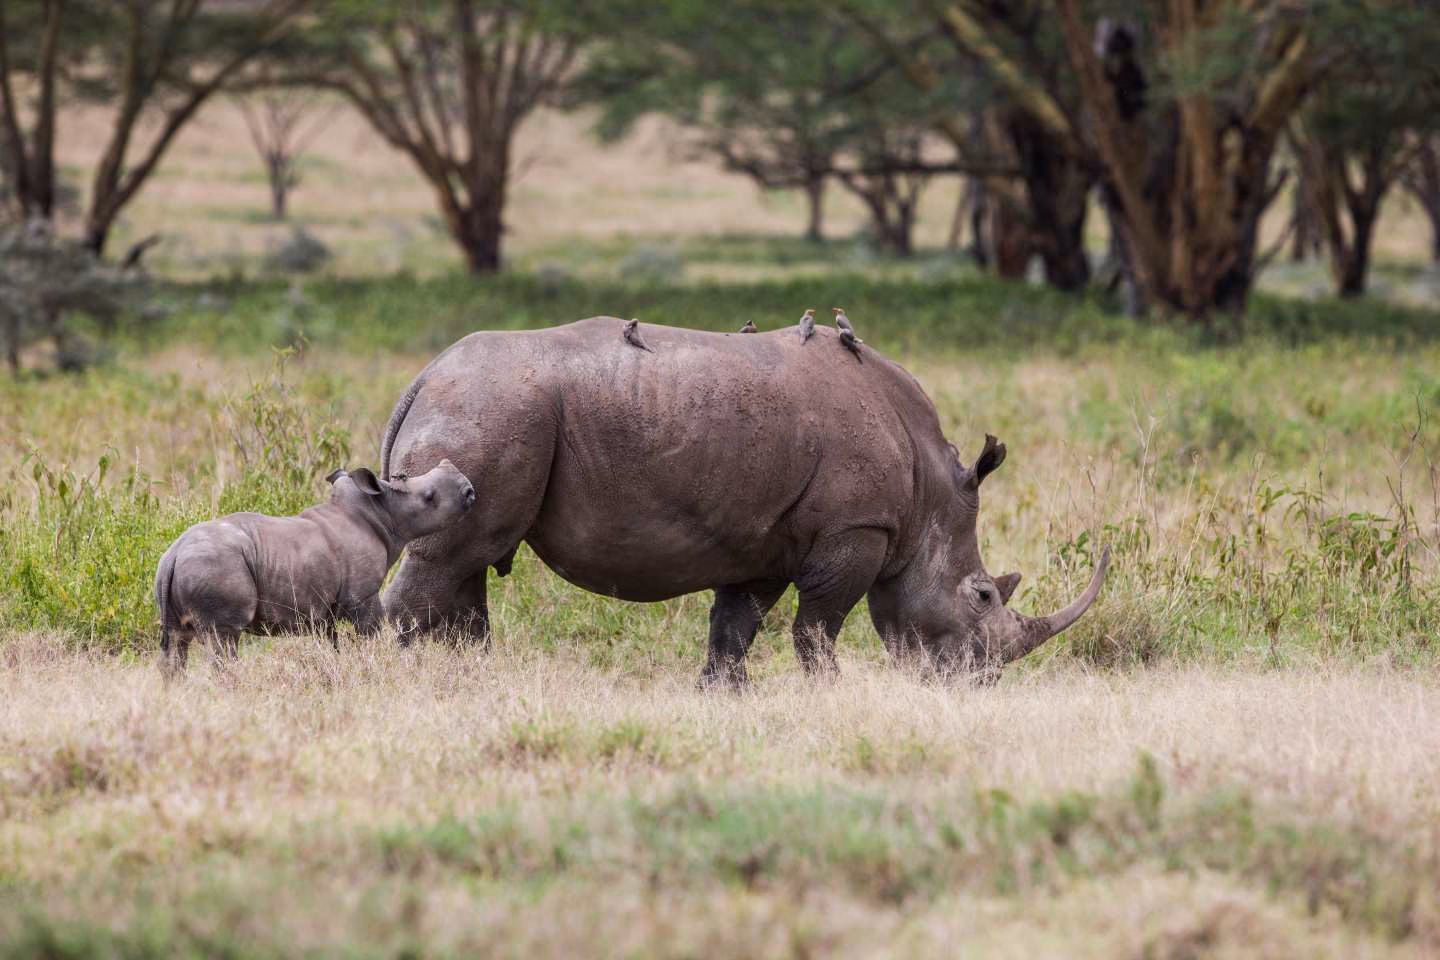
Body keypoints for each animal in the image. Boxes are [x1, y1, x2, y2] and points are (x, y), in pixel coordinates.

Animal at [154, 460, 475, 677]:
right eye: (429, 498)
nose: (469, 490)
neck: (382, 512)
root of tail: (173, 555)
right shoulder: (362, 597)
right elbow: (371, 634)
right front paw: (375, 666)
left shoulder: (323, 610)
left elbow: (331, 644)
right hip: (215, 566)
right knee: (223, 640)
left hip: (178, 572)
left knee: (175, 642)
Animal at [380, 317, 1109, 686]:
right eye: (981, 595)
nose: (978, 683)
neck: (927, 491)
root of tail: (422, 377)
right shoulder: (857, 529)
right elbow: (817, 627)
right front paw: (829, 694)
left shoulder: (761, 538)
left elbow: (735, 626)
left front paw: (721, 696)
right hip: (490, 410)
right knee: (450, 558)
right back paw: (409, 680)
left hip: (484, 409)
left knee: (470, 562)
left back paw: (471, 681)